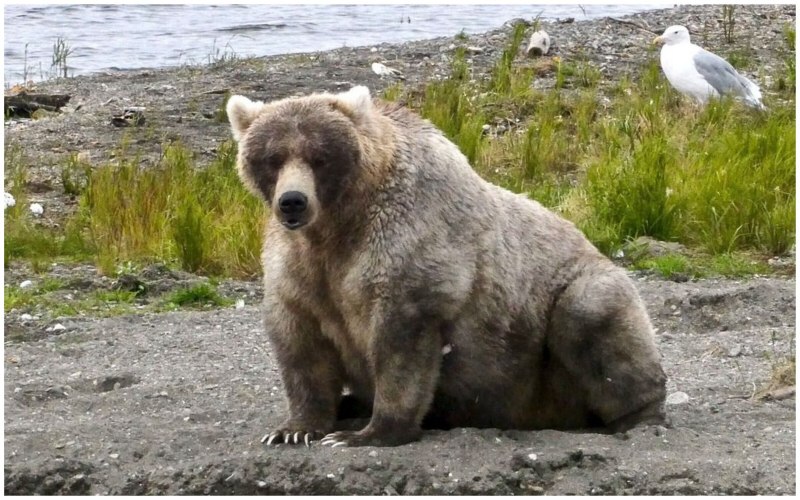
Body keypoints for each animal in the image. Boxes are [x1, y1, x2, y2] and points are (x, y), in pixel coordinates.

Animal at [226, 86, 667, 448]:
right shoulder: (300, 267)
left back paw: (638, 418)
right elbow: (301, 344)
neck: (340, 225)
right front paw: (294, 429)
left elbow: (401, 343)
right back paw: (350, 403)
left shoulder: (408, 246)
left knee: (592, 317)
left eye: (320, 157)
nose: (293, 202)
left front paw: (365, 434)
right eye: (273, 158)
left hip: (562, 309)